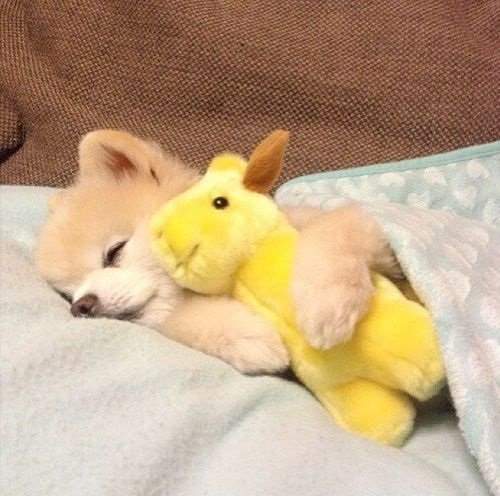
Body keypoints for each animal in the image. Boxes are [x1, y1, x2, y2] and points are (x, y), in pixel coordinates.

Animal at [35, 130, 400, 374]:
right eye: (68, 293)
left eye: (114, 252)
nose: (81, 306)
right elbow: (184, 320)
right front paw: (247, 335)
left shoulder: (375, 240)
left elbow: (335, 228)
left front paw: (328, 305)